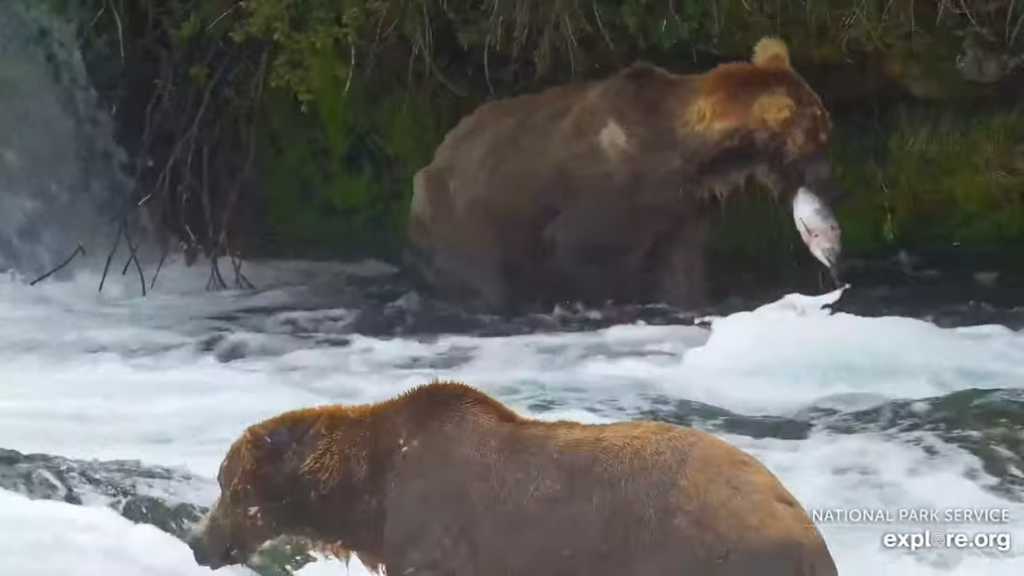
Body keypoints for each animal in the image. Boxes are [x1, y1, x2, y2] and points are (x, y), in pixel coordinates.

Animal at [403, 34, 843, 313]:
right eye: (819, 137)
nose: (828, 176)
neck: (689, 151)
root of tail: (430, 161)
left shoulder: (682, 203)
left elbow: (682, 265)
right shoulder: (611, 192)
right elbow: (586, 249)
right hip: (468, 212)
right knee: (483, 271)